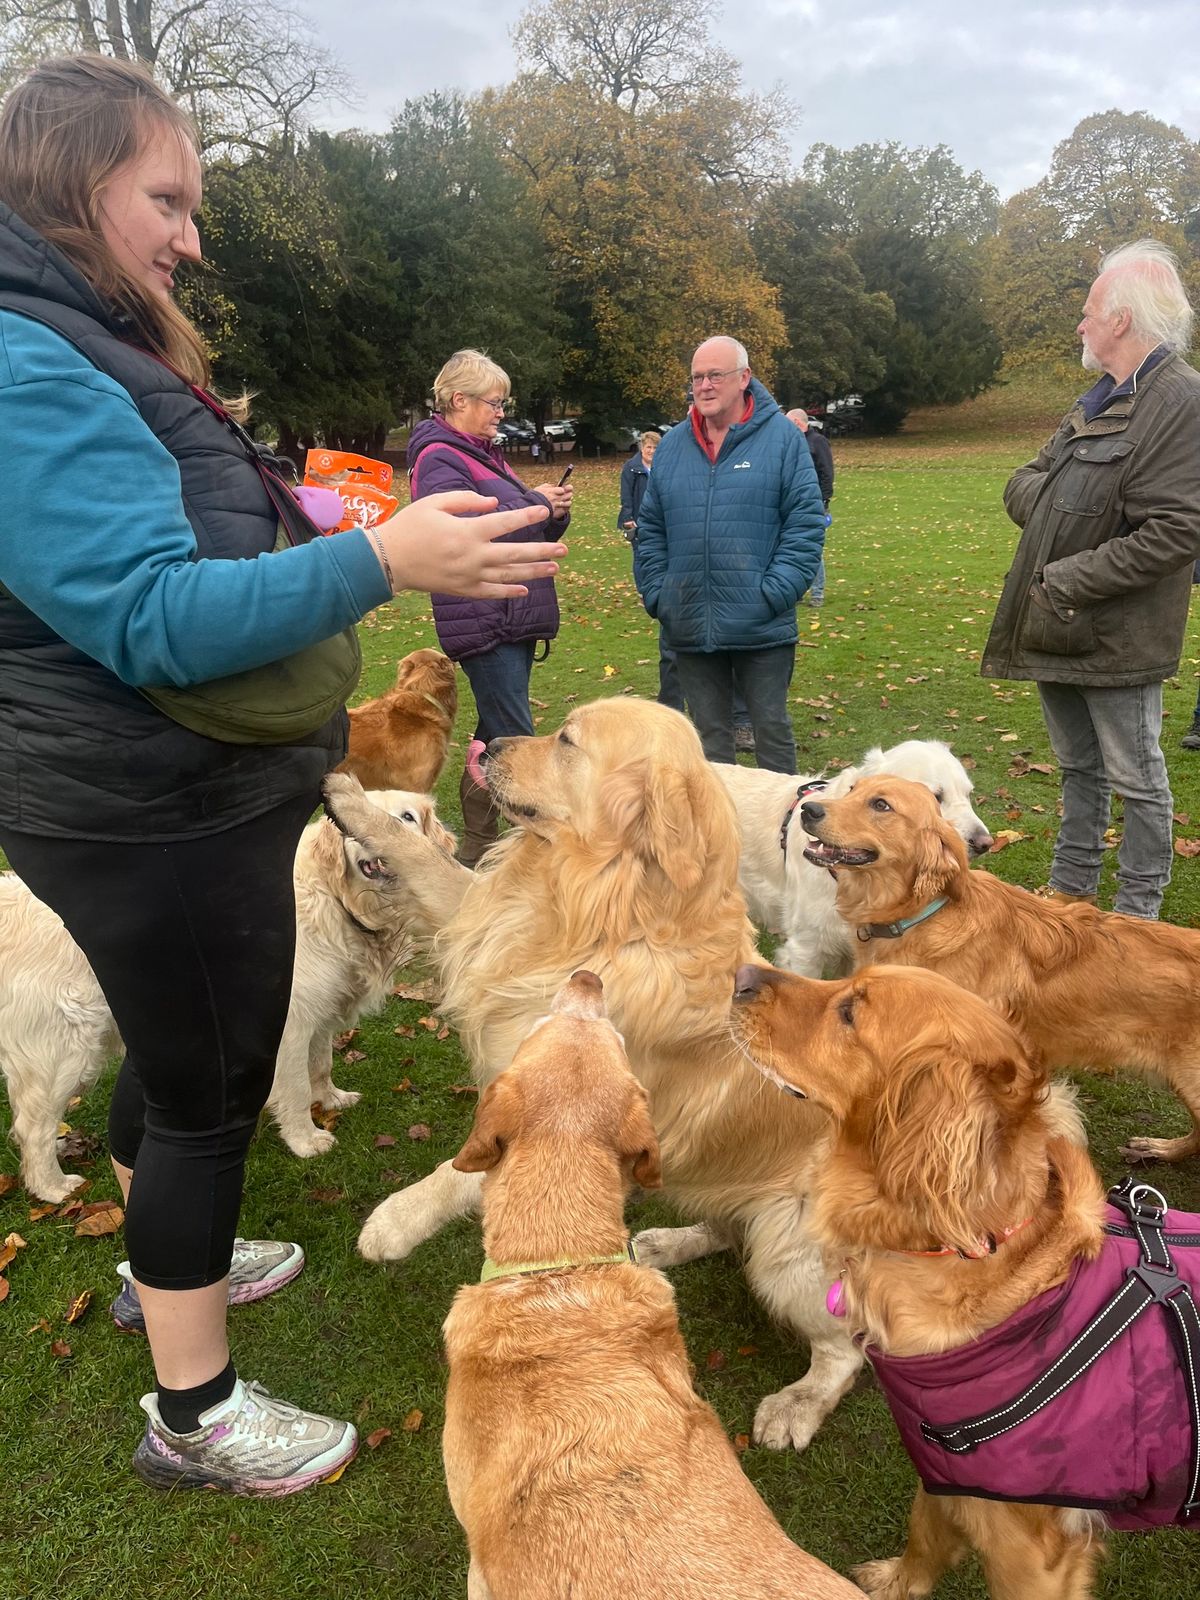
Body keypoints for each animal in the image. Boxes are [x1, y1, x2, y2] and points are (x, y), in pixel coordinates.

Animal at [0, 780, 454, 1196]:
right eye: (350, 820)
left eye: (407, 817)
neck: (337, 899)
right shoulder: (287, 1025)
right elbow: (295, 1087)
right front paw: (305, 1140)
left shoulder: (320, 1013)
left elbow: (321, 1064)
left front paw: (331, 1099)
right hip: (65, 1051)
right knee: (32, 1127)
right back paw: (53, 1187)